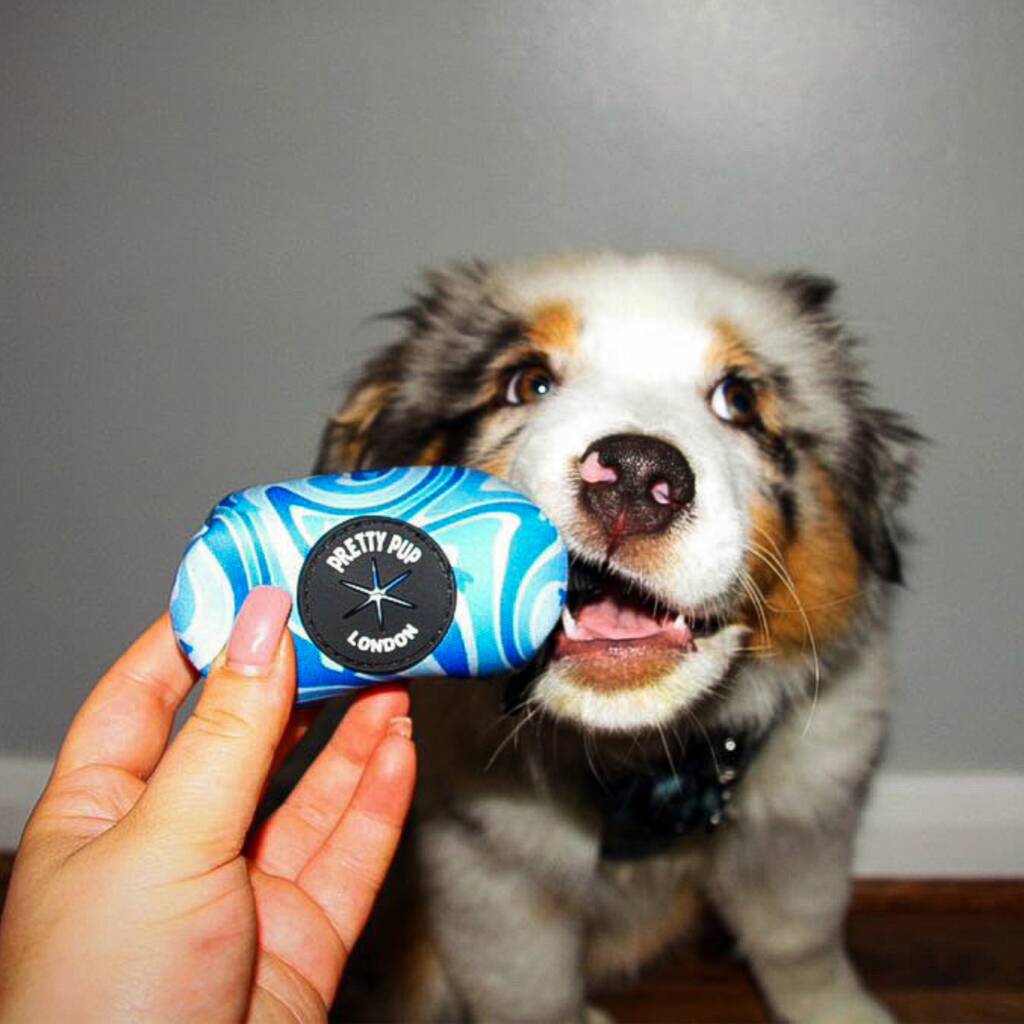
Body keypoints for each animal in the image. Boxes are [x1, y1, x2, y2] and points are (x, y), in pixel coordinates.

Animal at [313, 251, 921, 1019]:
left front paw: (841, 1009)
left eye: (739, 400)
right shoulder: (488, 875)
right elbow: (531, 994)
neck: (642, 770)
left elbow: (800, 941)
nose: (634, 476)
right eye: (527, 382)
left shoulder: (802, 818)